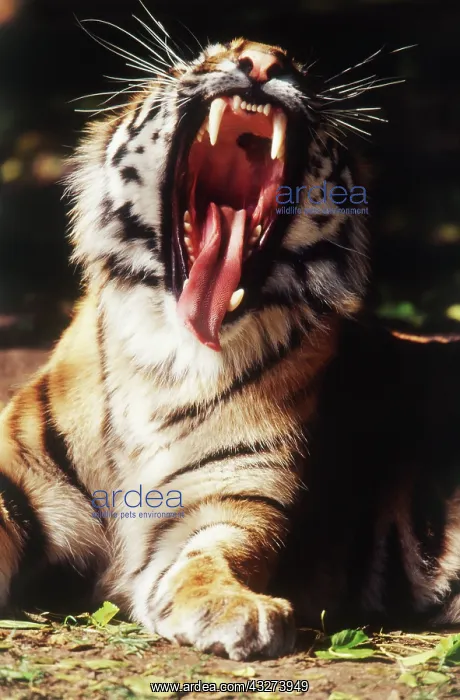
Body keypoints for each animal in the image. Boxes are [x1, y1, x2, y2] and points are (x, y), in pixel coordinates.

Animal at [6, 29, 458, 661]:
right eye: (208, 55)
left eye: (299, 69)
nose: (264, 60)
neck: (166, 356)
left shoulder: (234, 496)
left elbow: (213, 555)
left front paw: (234, 607)